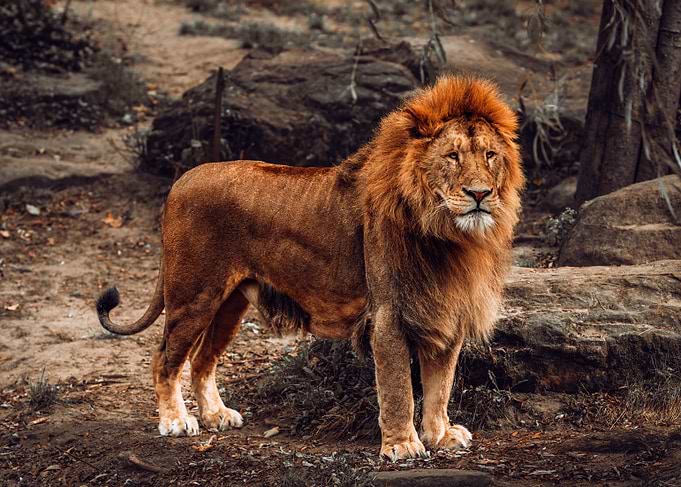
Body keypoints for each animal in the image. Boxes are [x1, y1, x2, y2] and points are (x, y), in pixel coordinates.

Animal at [96, 74, 524, 460]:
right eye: (452, 156)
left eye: (489, 155)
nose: (480, 194)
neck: (448, 234)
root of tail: (181, 180)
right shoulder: (388, 315)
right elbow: (399, 387)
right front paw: (402, 445)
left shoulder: (447, 311)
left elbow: (440, 385)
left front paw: (440, 435)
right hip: (193, 294)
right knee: (165, 358)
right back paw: (175, 421)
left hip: (230, 302)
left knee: (203, 359)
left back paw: (216, 415)